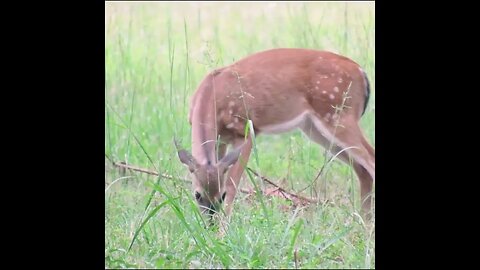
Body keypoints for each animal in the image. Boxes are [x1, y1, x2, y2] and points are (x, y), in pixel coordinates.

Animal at [176, 48, 376, 224]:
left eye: (222, 196)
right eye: (197, 195)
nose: (210, 222)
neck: (210, 96)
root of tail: (362, 73)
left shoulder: (245, 130)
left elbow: (233, 183)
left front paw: (223, 230)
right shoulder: (221, 139)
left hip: (339, 115)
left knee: (370, 160)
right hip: (316, 128)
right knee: (362, 170)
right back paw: (363, 226)